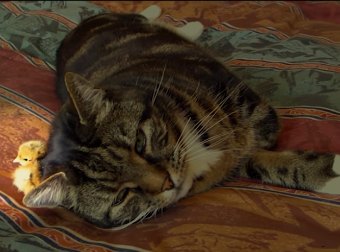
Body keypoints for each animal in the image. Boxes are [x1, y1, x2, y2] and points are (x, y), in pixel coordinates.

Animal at [22, 8, 338, 228]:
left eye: (140, 143)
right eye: (121, 195)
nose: (167, 183)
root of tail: (80, 26)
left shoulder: (235, 93)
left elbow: (263, 132)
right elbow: (267, 164)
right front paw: (329, 173)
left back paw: (186, 23)